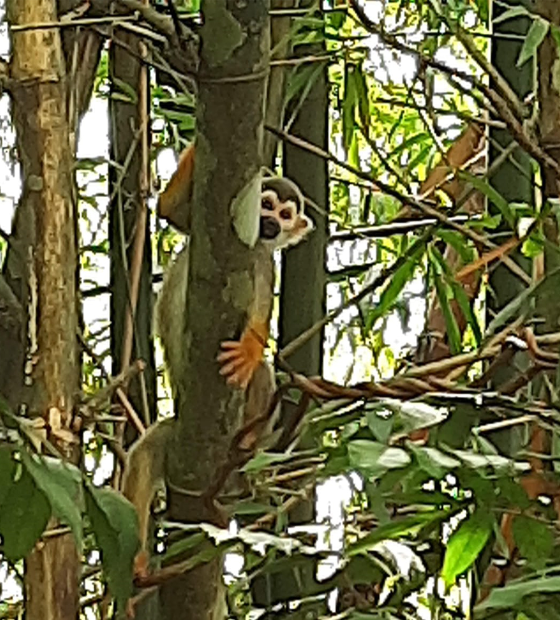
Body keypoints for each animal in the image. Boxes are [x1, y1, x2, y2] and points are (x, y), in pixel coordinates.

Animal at [121, 145, 310, 576]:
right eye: (267, 205)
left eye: (285, 214)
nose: (270, 223)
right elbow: (171, 211)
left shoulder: (265, 263)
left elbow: (260, 314)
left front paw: (250, 351)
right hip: (175, 436)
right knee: (143, 456)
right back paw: (136, 559)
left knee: (262, 377)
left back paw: (247, 449)